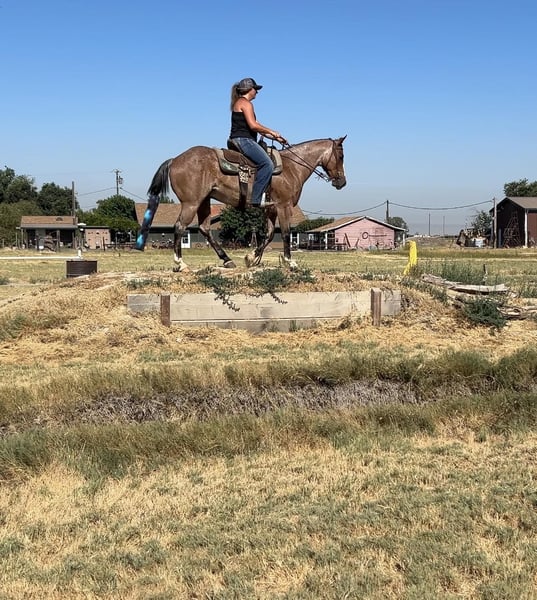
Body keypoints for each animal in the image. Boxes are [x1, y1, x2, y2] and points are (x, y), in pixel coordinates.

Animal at [135, 136, 347, 271]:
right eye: (341, 156)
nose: (342, 182)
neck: (292, 167)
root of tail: (175, 160)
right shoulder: (283, 206)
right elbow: (286, 234)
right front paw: (290, 262)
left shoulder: (270, 209)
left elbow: (269, 235)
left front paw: (251, 258)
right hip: (191, 203)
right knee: (180, 227)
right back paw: (181, 263)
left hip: (204, 201)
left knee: (204, 228)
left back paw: (227, 260)